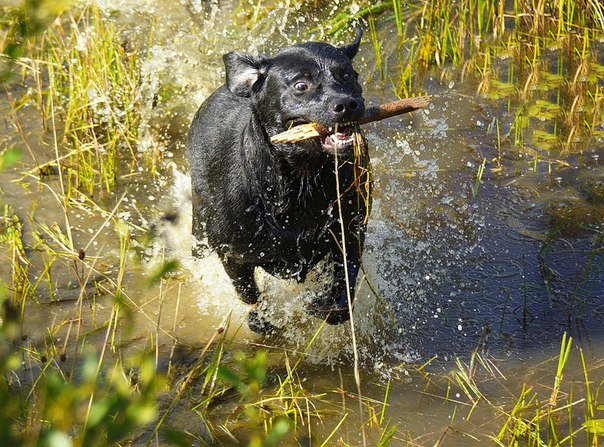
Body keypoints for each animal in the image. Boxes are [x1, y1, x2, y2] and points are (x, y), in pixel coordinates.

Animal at [186, 26, 370, 330]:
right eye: (301, 85)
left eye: (347, 76)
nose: (347, 103)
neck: (300, 180)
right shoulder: (231, 254)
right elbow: (248, 293)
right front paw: (261, 317)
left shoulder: (351, 230)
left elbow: (345, 284)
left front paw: (329, 307)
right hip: (199, 227)